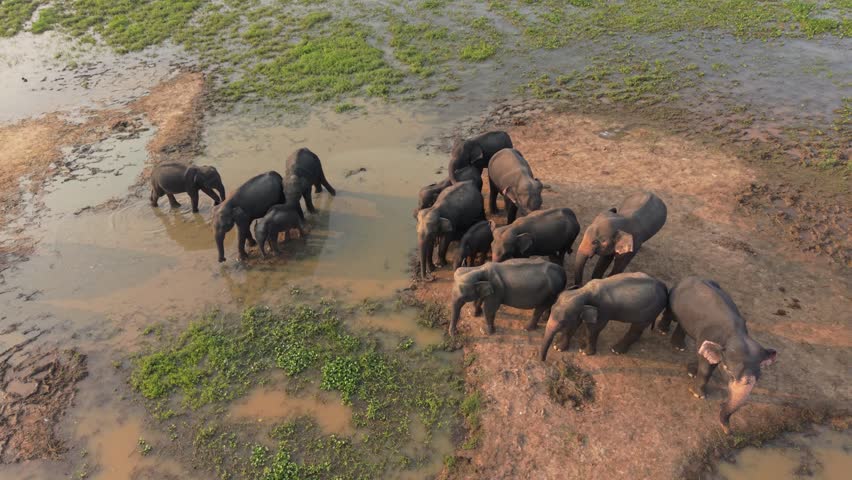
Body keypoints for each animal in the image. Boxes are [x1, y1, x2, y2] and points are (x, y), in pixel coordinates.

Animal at [540, 272, 668, 361]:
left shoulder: (603, 310)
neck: (583, 291)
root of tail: (663, 286)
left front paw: (585, 352)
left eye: (562, 322)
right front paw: (558, 348)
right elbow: (575, 325)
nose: (543, 360)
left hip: (651, 309)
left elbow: (593, 329)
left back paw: (616, 350)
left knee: (636, 328)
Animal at [656, 277, 777, 435]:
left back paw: (679, 346)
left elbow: (703, 355)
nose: (729, 432)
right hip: (673, 298)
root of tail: (691, 278)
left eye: (759, 377)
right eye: (729, 372)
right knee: (670, 314)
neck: (736, 333)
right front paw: (699, 395)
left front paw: (692, 372)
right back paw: (662, 331)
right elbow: (706, 365)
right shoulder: (710, 335)